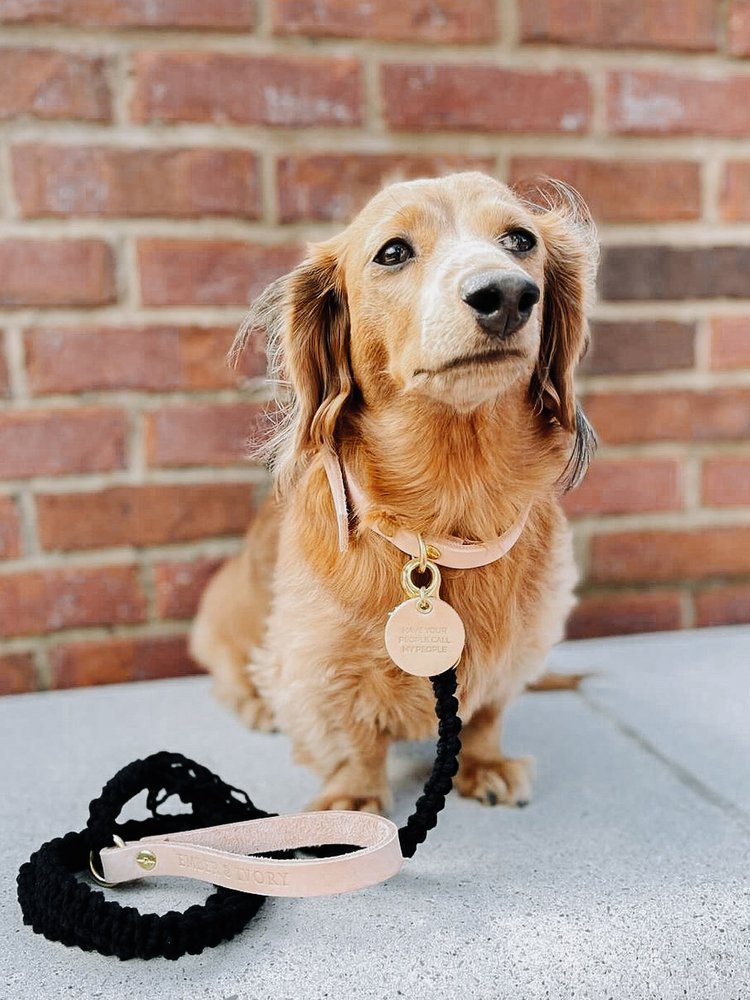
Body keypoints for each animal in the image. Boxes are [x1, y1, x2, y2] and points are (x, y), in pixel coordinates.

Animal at [192, 170, 600, 812]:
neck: (446, 517)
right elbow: (353, 739)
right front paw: (352, 801)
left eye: (520, 240)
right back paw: (256, 704)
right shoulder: (318, 665)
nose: (508, 294)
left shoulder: (518, 652)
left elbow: (487, 714)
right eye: (392, 252)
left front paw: (485, 764)